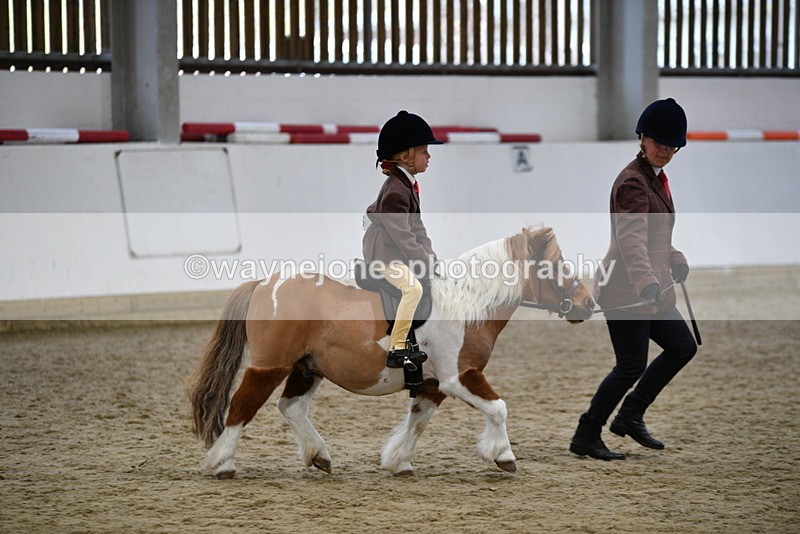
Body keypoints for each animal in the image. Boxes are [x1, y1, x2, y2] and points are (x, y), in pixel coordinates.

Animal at [186, 226, 595, 478]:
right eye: (555, 266)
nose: (587, 304)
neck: (467, 303)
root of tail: (263, 284)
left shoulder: (433, 384)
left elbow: (418, 422)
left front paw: (398, 462)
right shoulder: (459, 377)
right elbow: (498, 408)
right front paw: (503, 456)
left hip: (307, 368)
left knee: (291, 407)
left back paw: (318, 455)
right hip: (270, 366)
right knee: (242, 406)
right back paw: (223, 463)